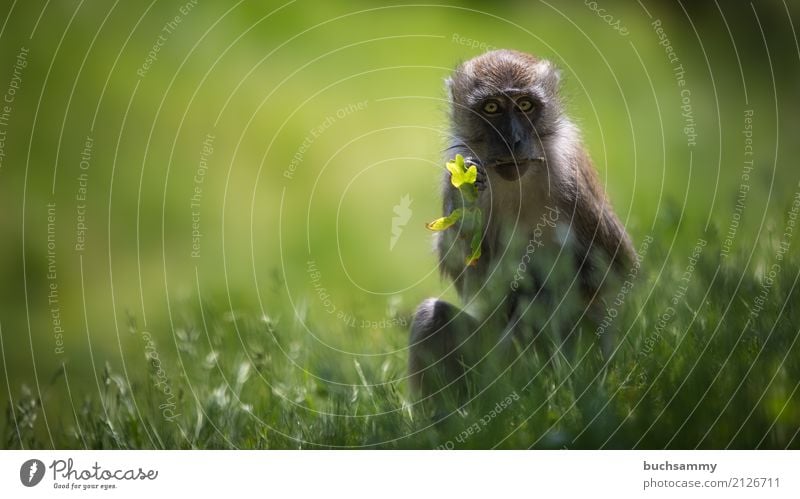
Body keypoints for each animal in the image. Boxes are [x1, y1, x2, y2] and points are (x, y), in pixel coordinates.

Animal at [410, 49, 636, 402]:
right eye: (491, 108)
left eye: (526, 105)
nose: (513, 139)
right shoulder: (456, 168)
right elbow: (478, 289)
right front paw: (467, 200)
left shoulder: (573, 179)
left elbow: (618, 272)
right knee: (431, 317)